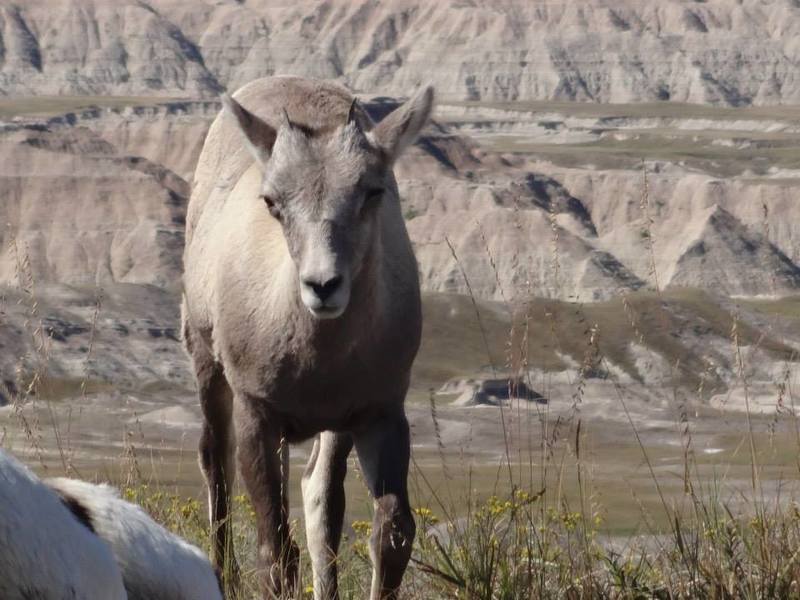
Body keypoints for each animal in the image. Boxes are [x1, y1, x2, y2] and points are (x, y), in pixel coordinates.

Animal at [182, 77, 434, 596]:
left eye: (372, 192)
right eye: (273, 202)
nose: (323, 285)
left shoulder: (378, 414)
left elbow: (390, 534)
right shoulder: (259, 415)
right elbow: (276, 553)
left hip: (334, 430)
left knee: (320, 502)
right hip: (208, 371)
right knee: (216, 466)